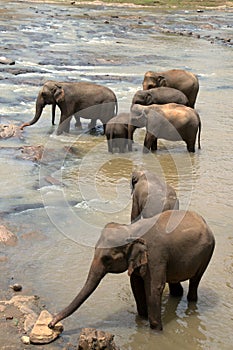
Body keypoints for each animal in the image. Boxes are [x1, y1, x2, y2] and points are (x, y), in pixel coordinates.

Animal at [48, 209, 215, 332]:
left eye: (107, 259)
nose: (51, 324)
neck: (131, 229)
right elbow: (135, 284)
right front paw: (142, 319)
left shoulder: (155, 255)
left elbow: (154, 287)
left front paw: (156, 331)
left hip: (207, 252)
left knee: (195, 280)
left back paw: (191, 301)